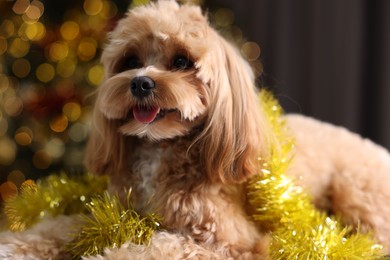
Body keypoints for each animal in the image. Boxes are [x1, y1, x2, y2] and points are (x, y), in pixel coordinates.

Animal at [0, 0, 390, 258]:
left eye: (182, 61)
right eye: (131, 61)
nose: (140, 82)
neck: (160, 149)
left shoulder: (226, 240)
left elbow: (155, 246)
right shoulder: (113, 210)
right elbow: (60, 224)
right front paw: (15, 244)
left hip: (355, 192)